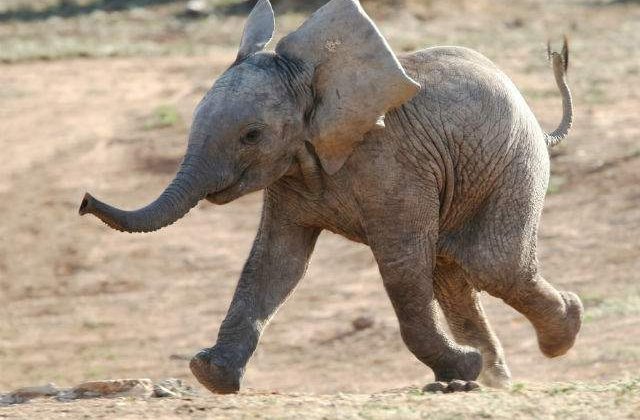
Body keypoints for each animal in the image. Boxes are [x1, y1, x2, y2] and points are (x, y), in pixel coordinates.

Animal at [79, 0, 583, 393]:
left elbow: (402, 265)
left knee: (491, 263)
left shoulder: (393, 165)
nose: (83, 201)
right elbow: (276, 262)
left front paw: (462, 367)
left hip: (514, 164)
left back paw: (561, 332)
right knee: (454, 271)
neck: (314, 82)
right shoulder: (291, 173)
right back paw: (493, 378)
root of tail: (539, 123)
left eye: (252, 135)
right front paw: (210, 375)